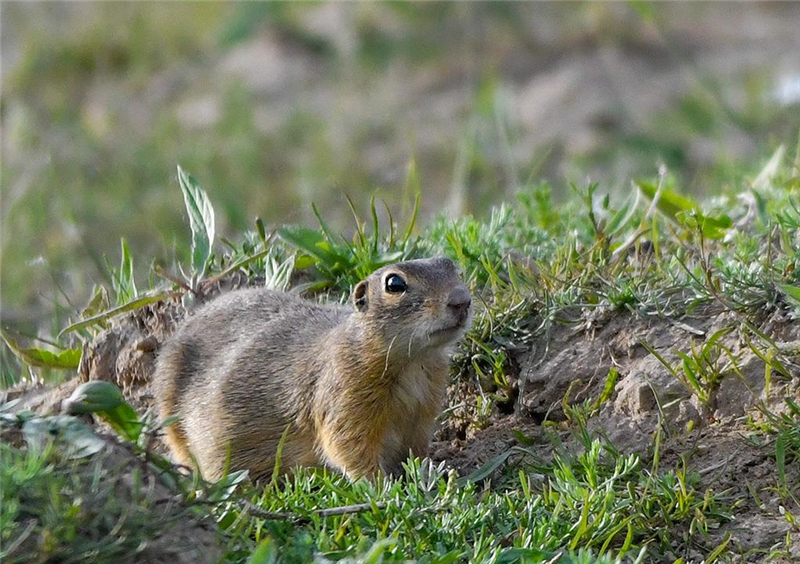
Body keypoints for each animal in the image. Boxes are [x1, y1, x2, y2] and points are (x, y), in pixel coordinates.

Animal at [153, 256, 472, 480]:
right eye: (395, 284)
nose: (462, 300)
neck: (412, 362)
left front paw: (429, 471)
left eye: (450, 265)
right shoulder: (344, 394)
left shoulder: (422, 412)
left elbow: (414, 450)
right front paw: (382, 486)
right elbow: (348, 448)